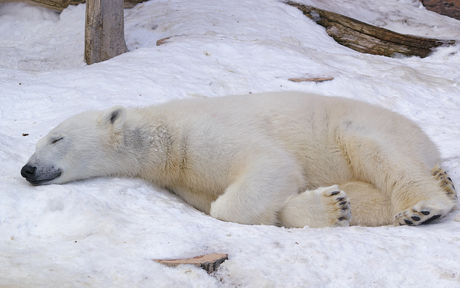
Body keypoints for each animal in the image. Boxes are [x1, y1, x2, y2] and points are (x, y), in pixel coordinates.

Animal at [20, 91, 456, 227]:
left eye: (56, 138)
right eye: (36, 142)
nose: (27, 169)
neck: (167, 138)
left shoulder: (206, 136)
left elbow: (268, 164)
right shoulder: (185, 181)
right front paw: (331, 206)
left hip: (358, 126)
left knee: (378, 152)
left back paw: (424, 205)